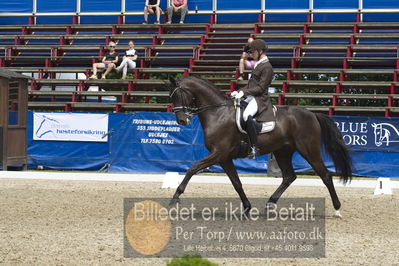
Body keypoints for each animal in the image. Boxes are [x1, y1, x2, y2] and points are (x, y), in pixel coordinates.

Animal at [169, 76, 354, 217]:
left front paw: (175, 198)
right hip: (282, 152)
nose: (182, 121)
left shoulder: (218, 153)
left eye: (178, 95)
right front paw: (247, 208)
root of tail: (313, 114)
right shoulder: (224, 158)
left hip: (309, 151)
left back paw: (337, 209)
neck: (217, 113)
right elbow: (236, 183)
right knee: (289, 177)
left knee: (326, 176)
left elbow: (192, 168)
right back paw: (270, 203)